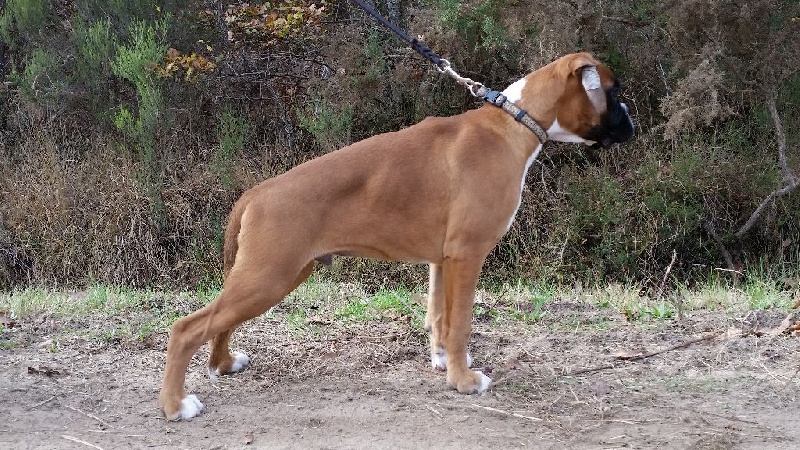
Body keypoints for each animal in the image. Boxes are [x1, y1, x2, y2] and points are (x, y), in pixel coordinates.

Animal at [159, 52, 634, 420]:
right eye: (612, 93)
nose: (632, 119)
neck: (514, 123)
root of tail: (256, 192)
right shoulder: (468, 254)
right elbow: (461, 322)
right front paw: (464, 381)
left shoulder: (443, 260)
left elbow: (441, 318)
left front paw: (443, 362)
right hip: (268, 277)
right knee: (186, 328)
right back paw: (175, 406)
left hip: (272, 275)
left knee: (219, 321)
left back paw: (223, 364)